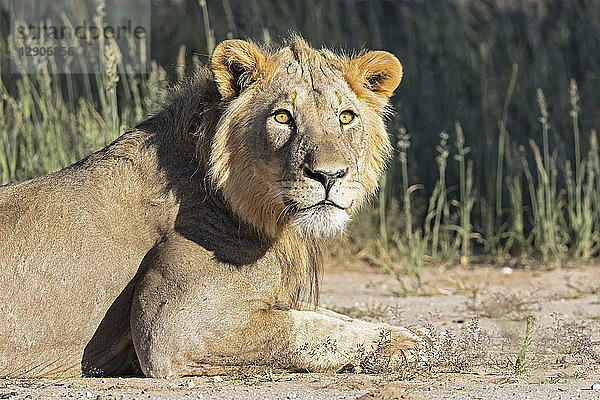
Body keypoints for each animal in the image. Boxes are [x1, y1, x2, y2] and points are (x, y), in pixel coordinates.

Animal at [0, 35, 418, 378]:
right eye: (283, 116)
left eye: (346, 117)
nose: (330, 175)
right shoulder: (168, 328)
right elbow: (304, 330)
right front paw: (402, 345)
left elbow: (324, 313)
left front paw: (404, 333)